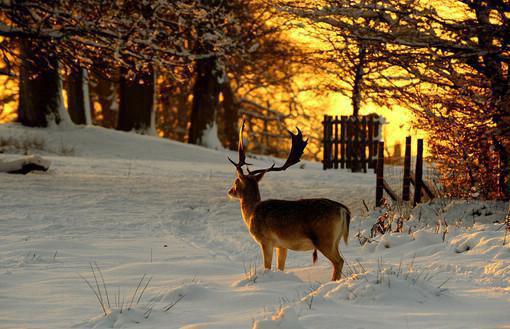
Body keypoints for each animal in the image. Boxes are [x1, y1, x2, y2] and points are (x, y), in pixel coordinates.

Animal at [228, 121, 350, 280]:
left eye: (236, 181)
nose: (230, 191)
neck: (251, 213)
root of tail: (343, 210)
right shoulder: (282, 246)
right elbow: (281, 266)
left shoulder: (266, 240)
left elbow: (267, 266)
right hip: (336, 239)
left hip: (324, 239)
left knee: (339, 261)